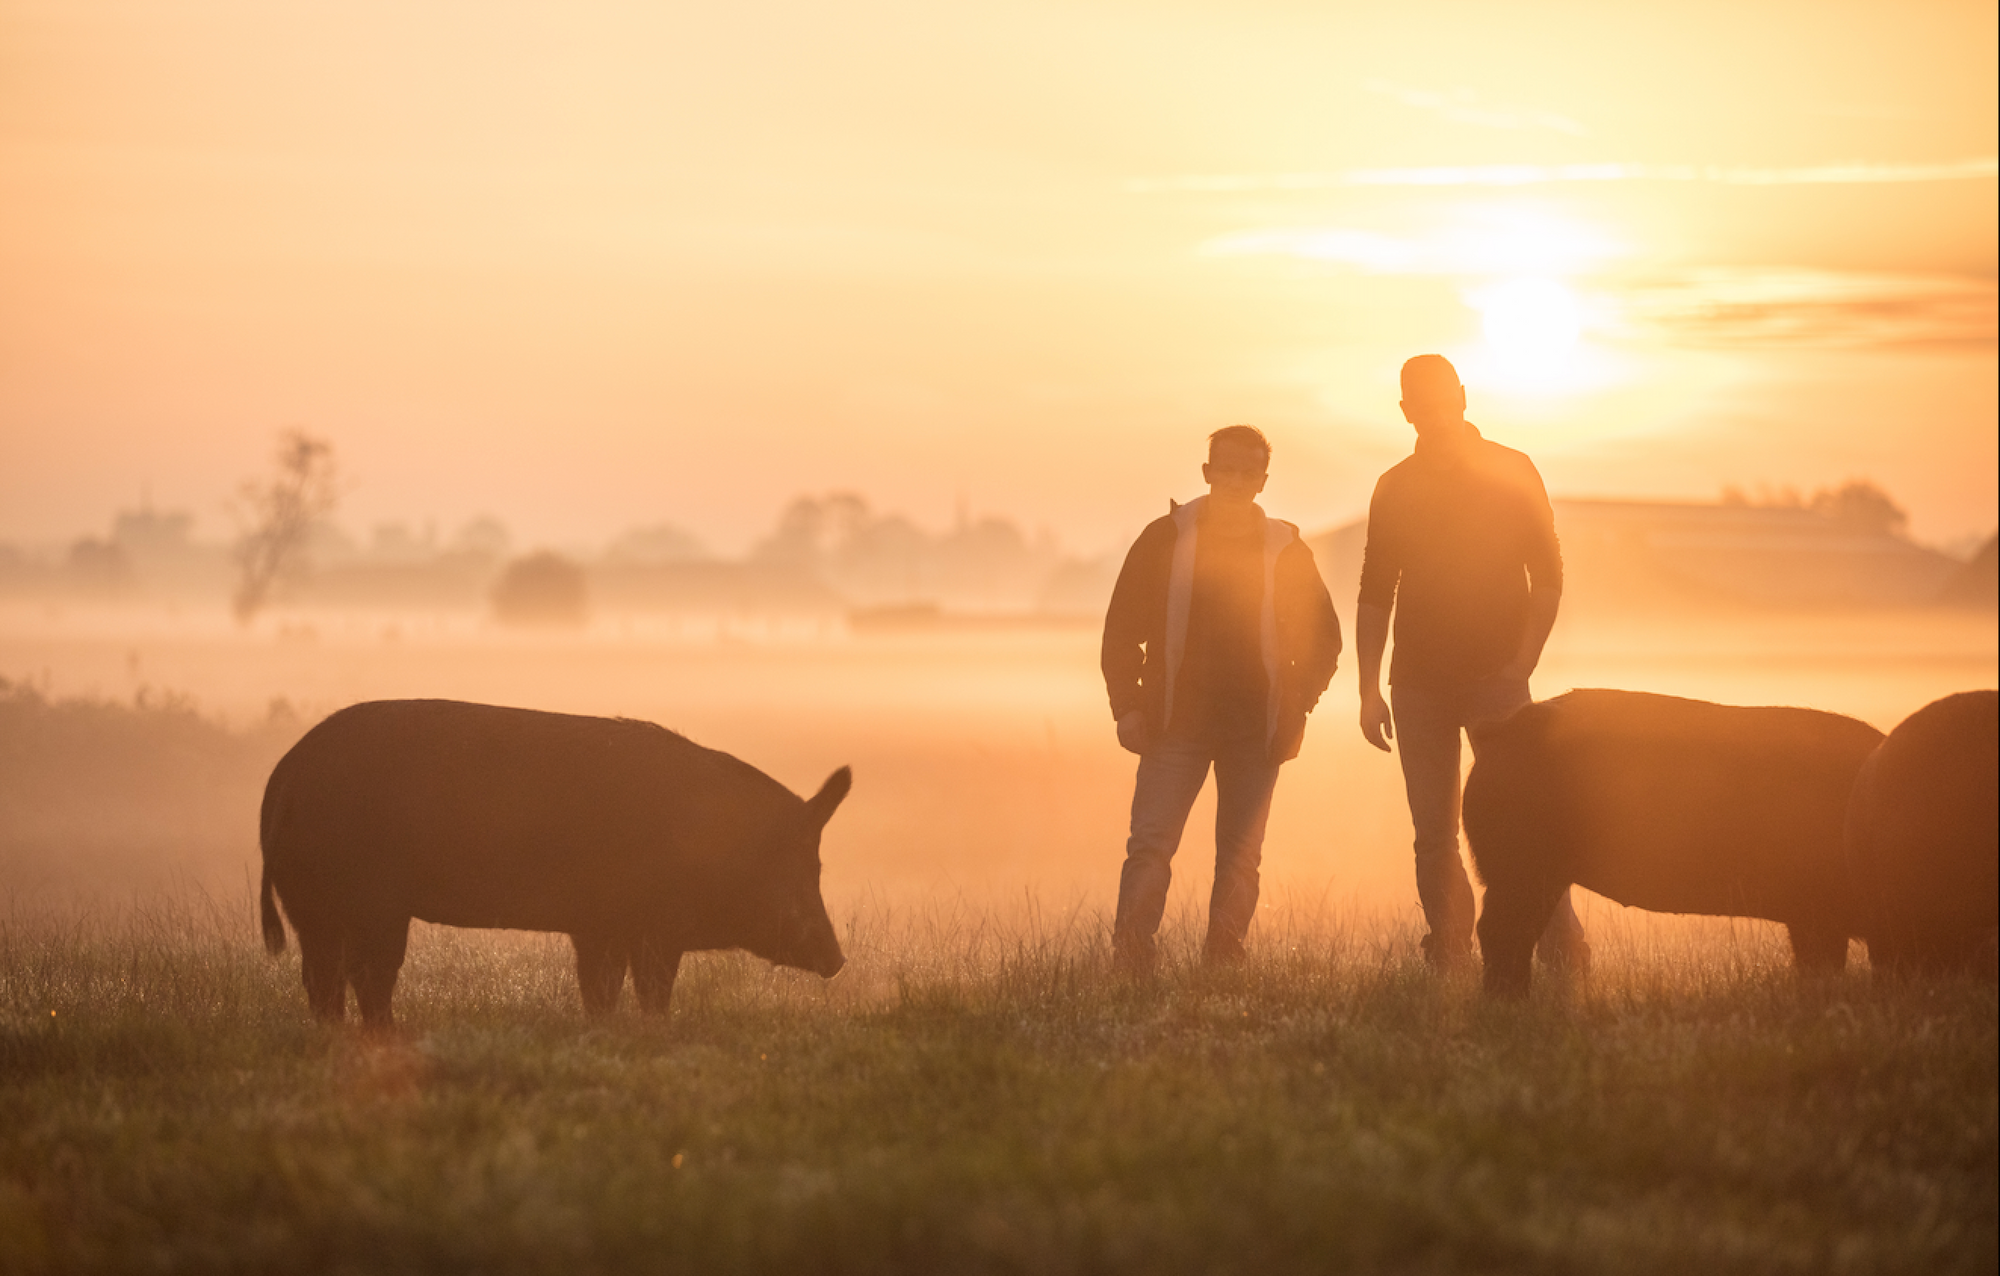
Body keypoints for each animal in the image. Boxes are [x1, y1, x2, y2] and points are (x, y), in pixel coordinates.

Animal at [254, 700, 848, 1032]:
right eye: (805, 865)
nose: (839, 960)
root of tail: (283, 780)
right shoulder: (654, 927)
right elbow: (652, 988)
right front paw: (655, 1030)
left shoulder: (599, 927)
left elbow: (600, 988)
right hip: (366, 905)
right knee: (364, 975)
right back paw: (386, 1037)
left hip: (316, 911)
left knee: (324, 978)